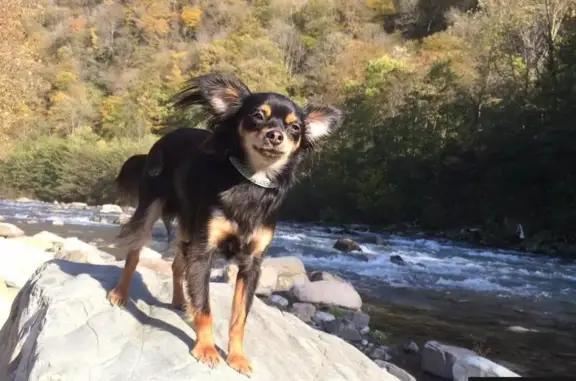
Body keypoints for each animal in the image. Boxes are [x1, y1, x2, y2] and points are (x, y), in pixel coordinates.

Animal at [106, 73, 344, 374]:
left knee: (177, 264)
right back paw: (120, 293)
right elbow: (206, 309)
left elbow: (239, 317)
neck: (251, 182)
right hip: (151, 208)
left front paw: (237, 356)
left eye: (295, 128)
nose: (276, 135)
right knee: (134, 252)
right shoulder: (204, 250)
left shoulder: (251, 264)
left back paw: (180, 301)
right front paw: (207, 349)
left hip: (189, 225)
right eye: (257, 116)